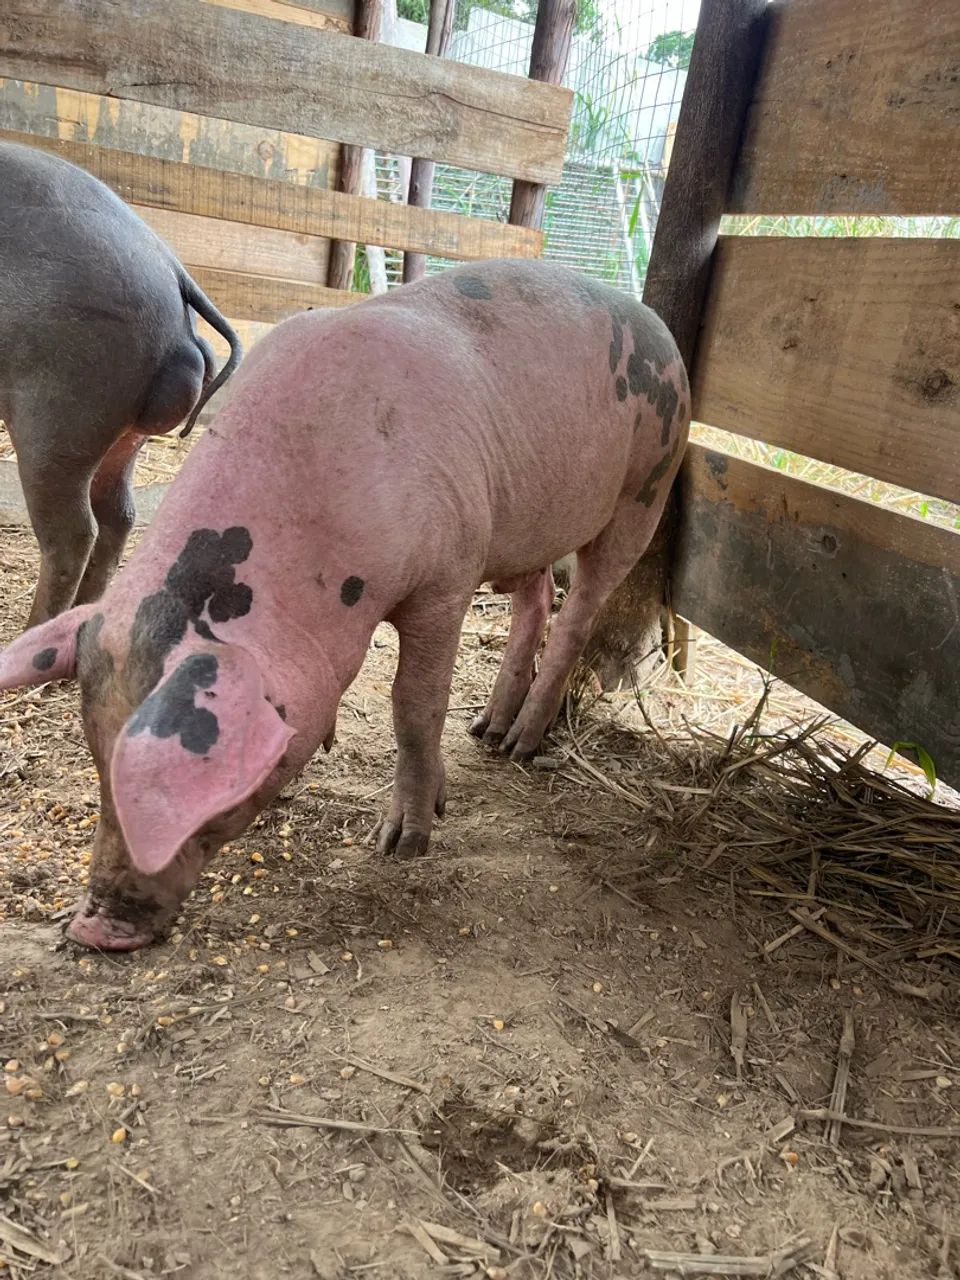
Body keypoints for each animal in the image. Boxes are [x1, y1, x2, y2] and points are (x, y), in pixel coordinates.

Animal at [0, 259, 690, 950]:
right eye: (98, 755)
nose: (94, 928)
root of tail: (659, 330)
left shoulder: (446, 578)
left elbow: (414, 705)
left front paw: (403, 843)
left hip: (647, 485)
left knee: (582, 607)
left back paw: (519, 745)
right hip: (524, 526)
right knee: (539, 594)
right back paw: (487, 731)